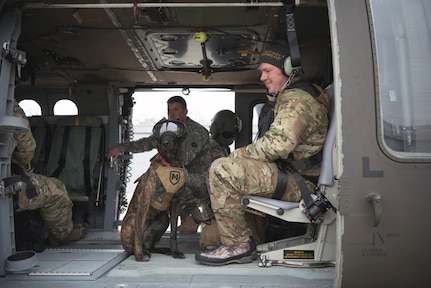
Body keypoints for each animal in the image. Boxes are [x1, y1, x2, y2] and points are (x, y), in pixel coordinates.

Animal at [121, 119, 189, 260]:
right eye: (160, 131)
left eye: (175, 130)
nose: (165, 142)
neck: (171, 164)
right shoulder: (145, 201)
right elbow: (138, 232)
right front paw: (139, 256)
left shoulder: (175, 204)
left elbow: (173, 232)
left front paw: (175, 251)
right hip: (132, 219)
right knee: (134, 245)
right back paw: (141, 251)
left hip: (164, 219)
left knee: (151, 246)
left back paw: (163, 249)